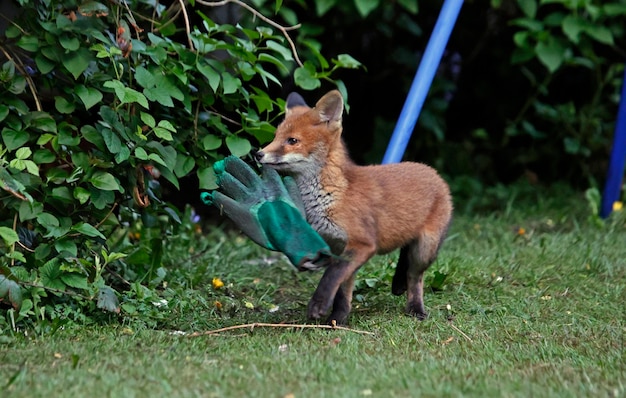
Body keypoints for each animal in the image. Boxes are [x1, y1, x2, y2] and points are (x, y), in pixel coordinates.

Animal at [255, 89, 454, 324]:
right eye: (275, 137)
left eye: (292, 140)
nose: (258, 154)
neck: (330, 196)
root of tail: (433, 171)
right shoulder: (338, 246)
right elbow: (342, 288)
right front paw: (337, 319)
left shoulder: (362, 244)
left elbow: (332, 275)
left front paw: (319, 305)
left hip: (424, 250)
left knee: (415, 277)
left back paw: (416, 308)